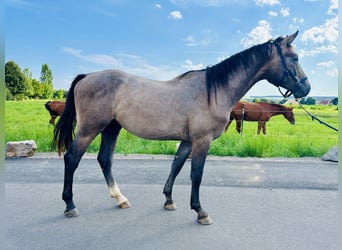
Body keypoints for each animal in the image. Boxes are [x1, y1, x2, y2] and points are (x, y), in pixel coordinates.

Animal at [51, 31, 310, 225]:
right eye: (295, 58)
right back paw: (70, 205)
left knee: (105, 159)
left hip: (111, 128)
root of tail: (87, 76)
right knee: (72, 159)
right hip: (90, 129)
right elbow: (196, 174)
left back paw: (120, 199)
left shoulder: (187, 141)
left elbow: (175, 167)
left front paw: (168, 200)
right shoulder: (201, 141)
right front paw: (200, 211)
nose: (306, 89)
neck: (213, 91)